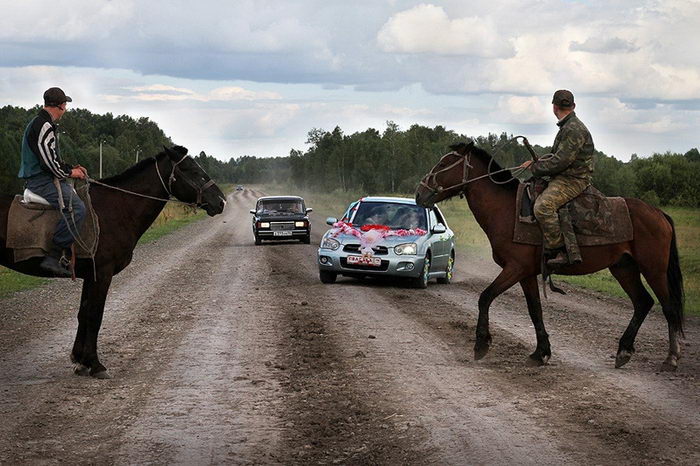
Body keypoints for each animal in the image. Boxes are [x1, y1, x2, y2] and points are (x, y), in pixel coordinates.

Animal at [0, 146, 224, 378]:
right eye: (192, 170)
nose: (221, 201)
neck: (117, 209)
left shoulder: (91, 275)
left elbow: (84, 314)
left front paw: (80, 360)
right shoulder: (103, 273)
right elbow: (95, 316)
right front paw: (95, 364)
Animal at [416, 142, 684, 372]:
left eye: (444, 163)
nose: (420, 193)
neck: (507, 210)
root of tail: (658, 213)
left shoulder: (514, 268)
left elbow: (485, 297)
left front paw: (481, 344)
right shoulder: (526, 273)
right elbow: (535, 310)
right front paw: (541, 353)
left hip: (654, 269)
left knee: (668, 307)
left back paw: (671, 358)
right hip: (624, 268)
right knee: (643, 303)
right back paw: (624, 351)